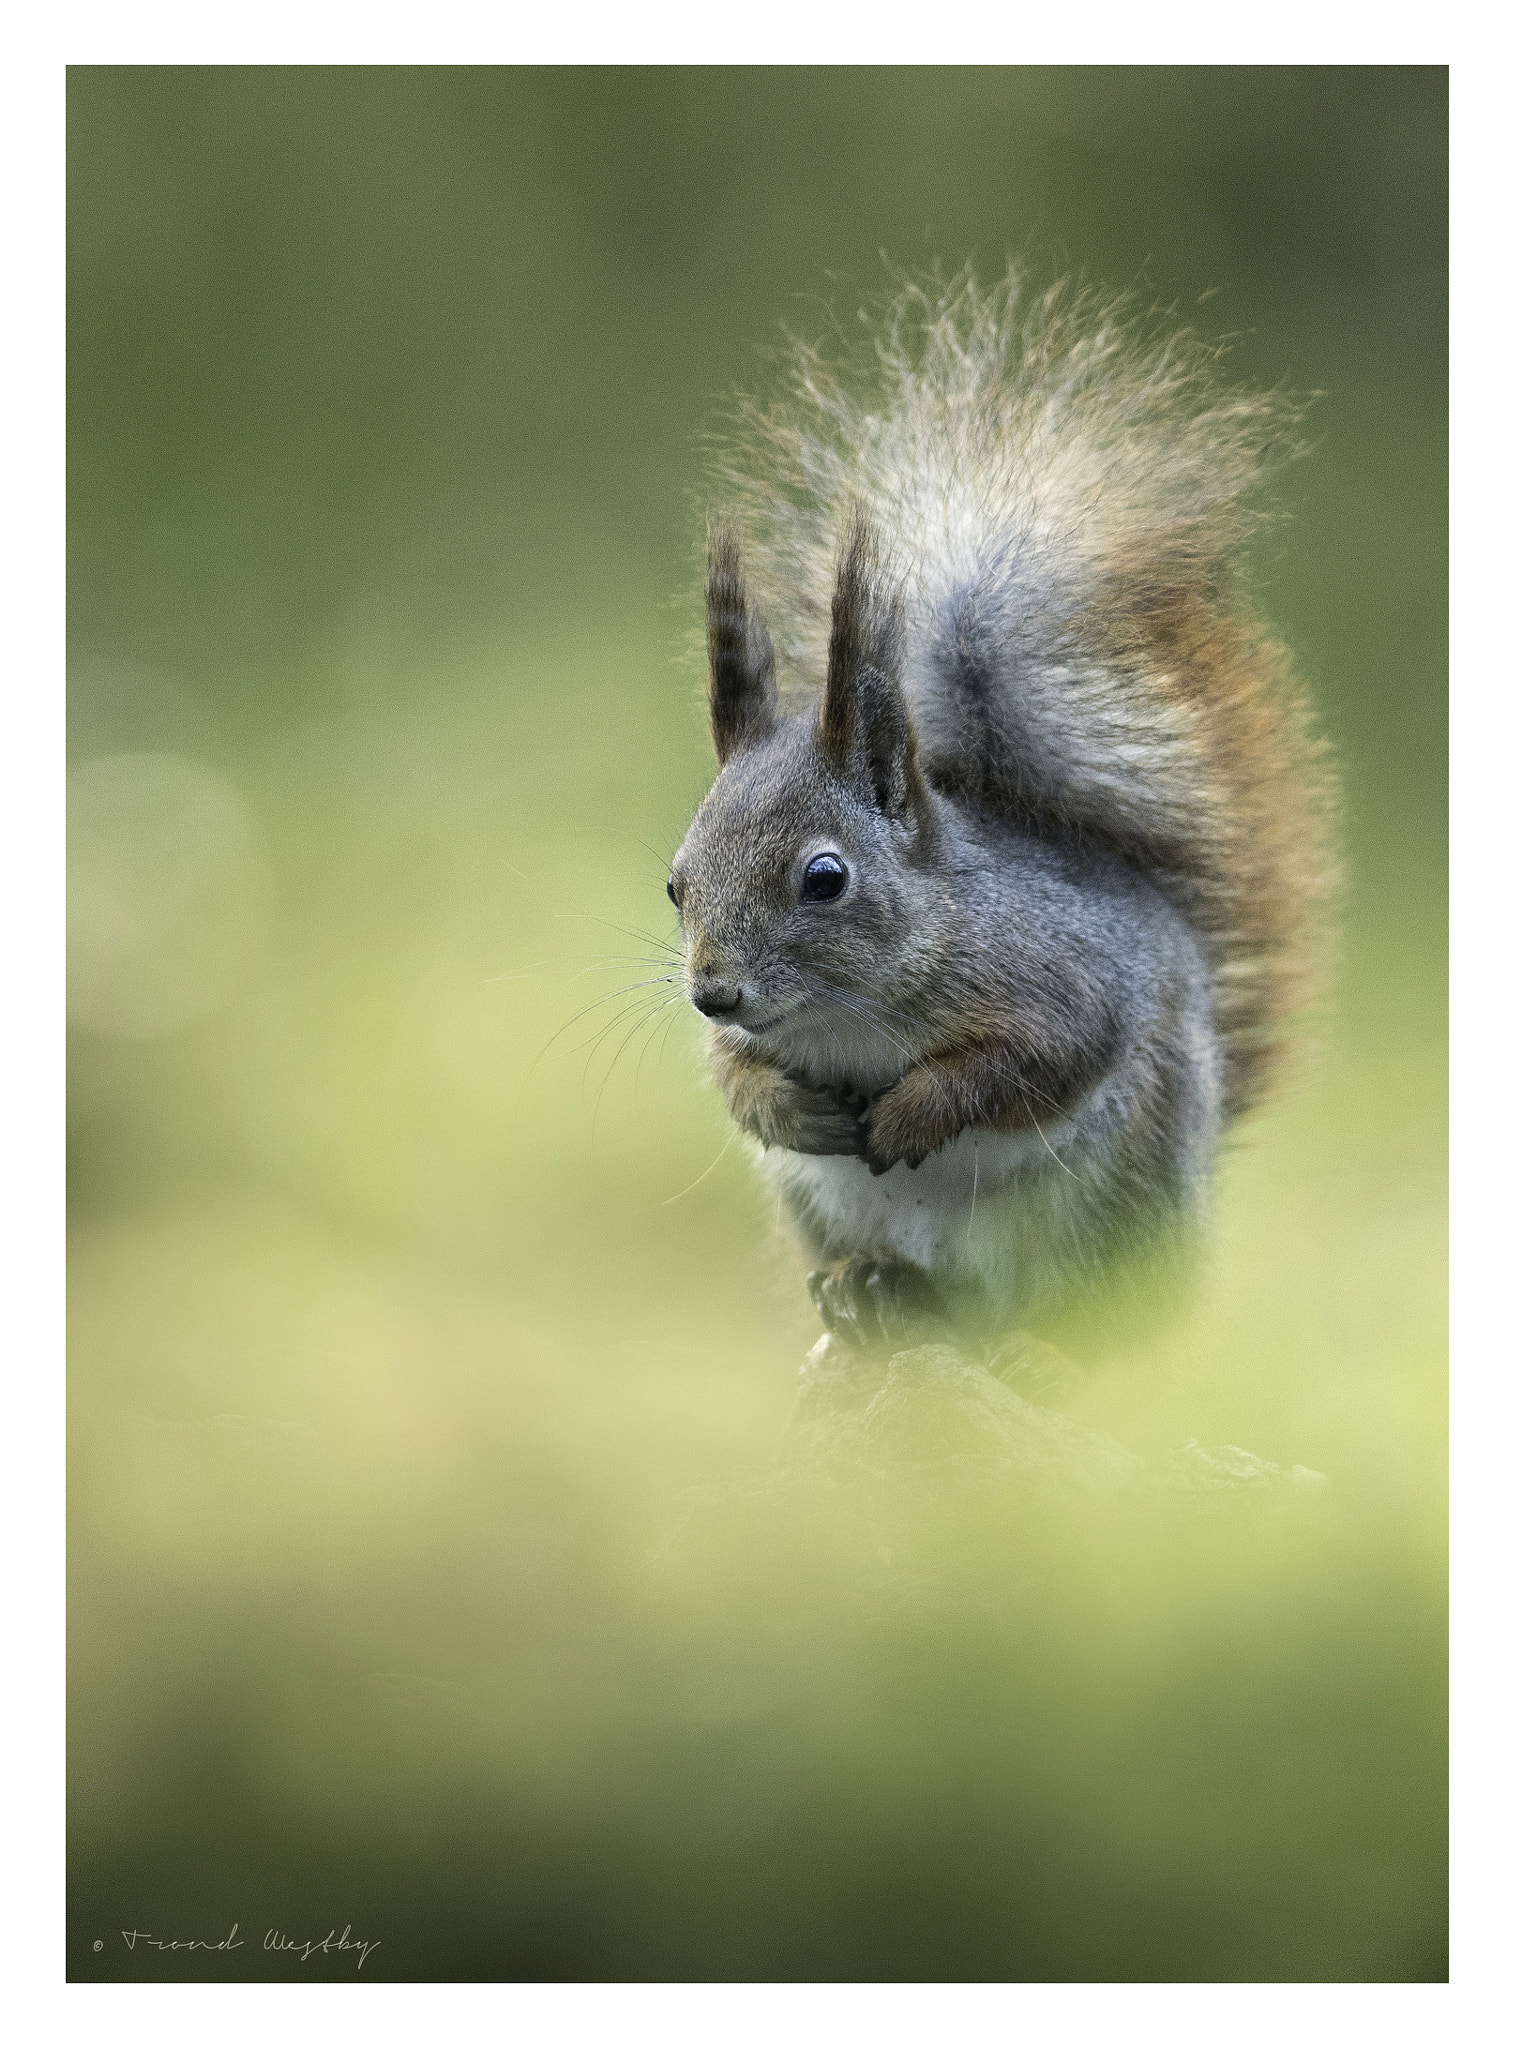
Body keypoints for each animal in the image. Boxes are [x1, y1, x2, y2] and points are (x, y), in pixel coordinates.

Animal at [667, 272, 1334, 1351]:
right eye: (675, 883)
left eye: (824, 877)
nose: (711, 992)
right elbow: (735, 1078)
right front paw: (788, 1107)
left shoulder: (1064, 976)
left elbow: (1029, 1060)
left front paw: (910, 1113)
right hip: (822, 1211)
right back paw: (869, 1285)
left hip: (1122, 1203)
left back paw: (1049, 1353)